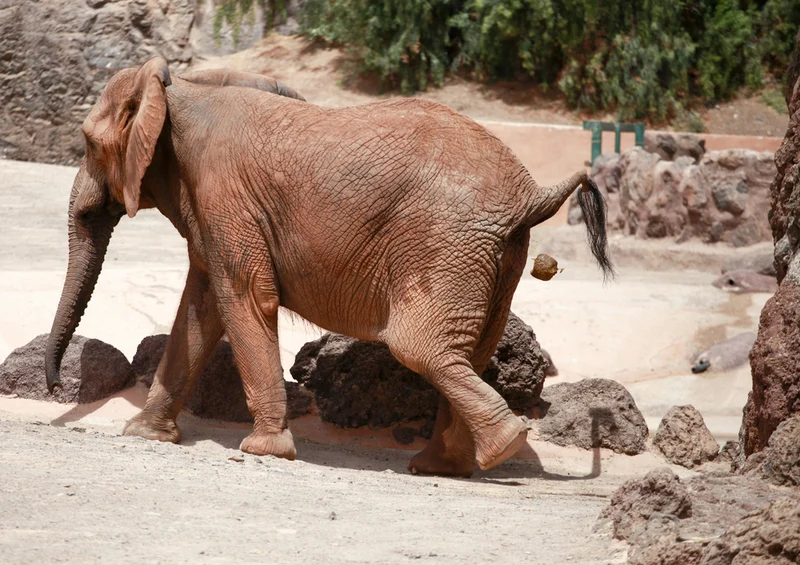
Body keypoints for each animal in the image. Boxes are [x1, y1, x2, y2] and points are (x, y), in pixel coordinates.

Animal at [45, 56, 612, 477]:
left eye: (89, 144)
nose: (53, 387)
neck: (179, 89)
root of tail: (532, 193)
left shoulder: (225, 194)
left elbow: (243, 297)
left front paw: (263, 451)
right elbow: (200, 308)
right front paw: (143, 436)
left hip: (446, 244)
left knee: (420, 347)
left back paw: (502, 447)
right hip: (496, 254)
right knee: (471, 350)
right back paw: (442, 466)